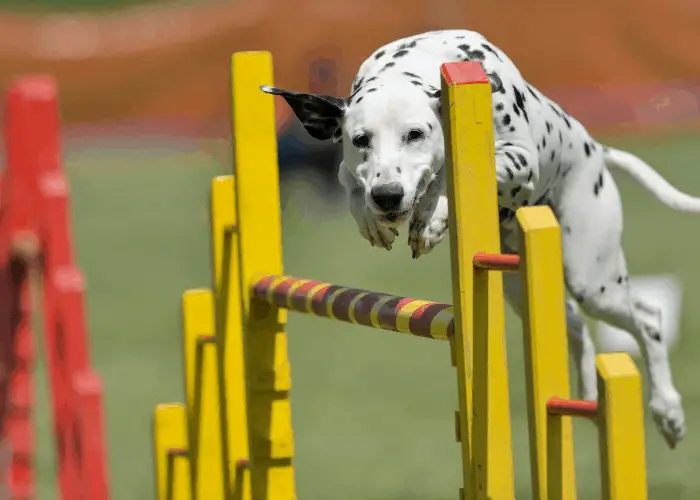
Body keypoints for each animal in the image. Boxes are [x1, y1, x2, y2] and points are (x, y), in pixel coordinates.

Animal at [262, 28, 700, 450]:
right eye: (360, 140)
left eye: (415, 133)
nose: (388, 195)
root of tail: (596, 150)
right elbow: (348, 180)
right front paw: (372, 218)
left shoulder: (520, 161)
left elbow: (446, 176)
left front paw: (432, 216)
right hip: (519, 283)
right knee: (575, 323)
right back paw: (586, 393)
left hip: (594, 280)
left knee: (648, 318)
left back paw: (668, 411)